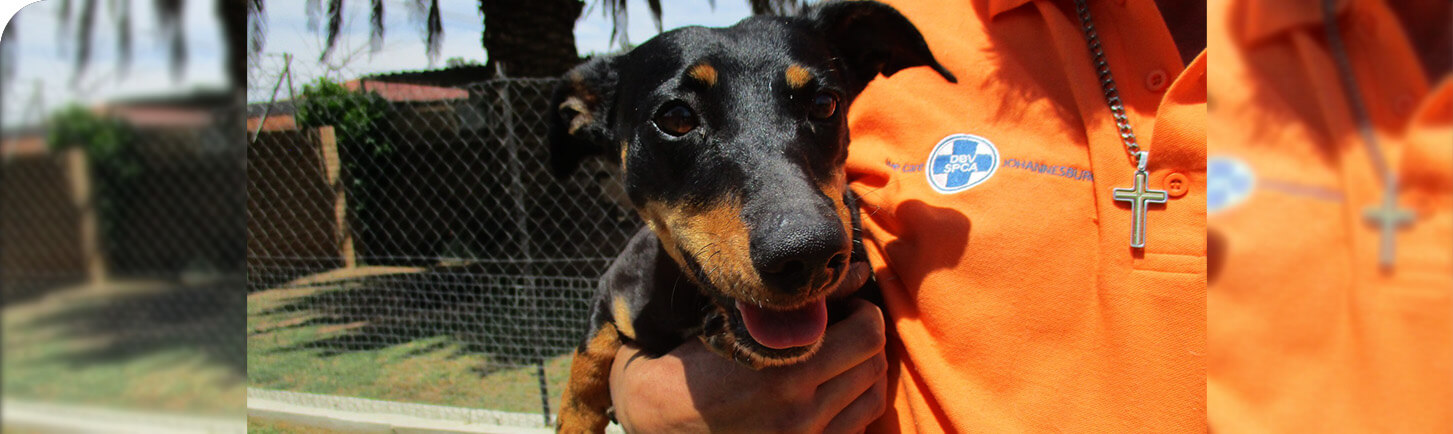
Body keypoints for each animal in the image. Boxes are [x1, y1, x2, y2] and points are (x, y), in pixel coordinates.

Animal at [546, 1, 953, 432]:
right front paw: (576, 418)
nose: (809, 256)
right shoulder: (615, 288)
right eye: (676, 117)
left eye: (824, 103)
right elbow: (586, 362)